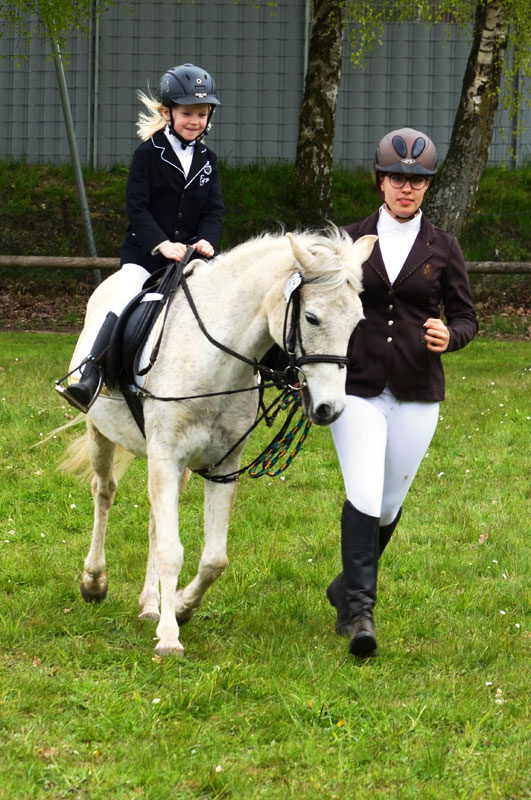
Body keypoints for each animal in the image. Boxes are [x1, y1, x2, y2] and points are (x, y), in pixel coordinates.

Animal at [59, 228, 376, 657]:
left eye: (357, 322)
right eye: (311, 317)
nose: (330, 408)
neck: (215, 362)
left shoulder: (221, 467)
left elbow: (213, 558)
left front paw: (180, 607)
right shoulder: (165, 458)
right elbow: (172, 551)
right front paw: (170, 638)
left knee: (154, 523)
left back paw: (150, 604)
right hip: (101, 433)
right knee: (104, 492)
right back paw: (94, 582)